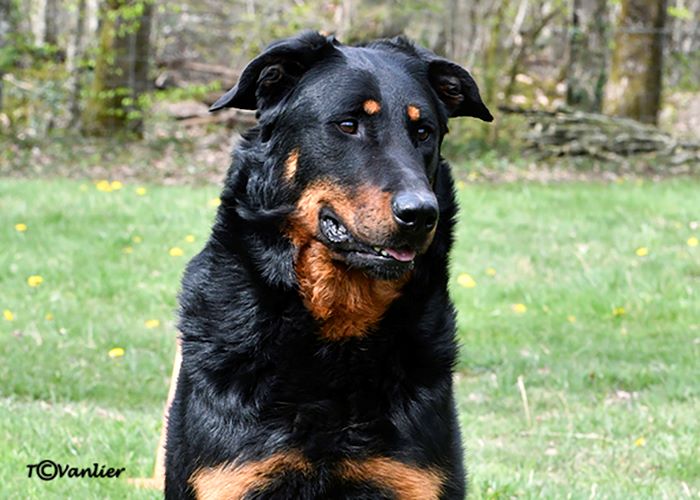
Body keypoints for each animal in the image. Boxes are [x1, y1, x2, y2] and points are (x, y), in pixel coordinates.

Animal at [164, 32, 492, 500]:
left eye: (423, 132)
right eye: (348, 125)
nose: (421, 213)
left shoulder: (413, 478)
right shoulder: (231, 478)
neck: (336, 328)